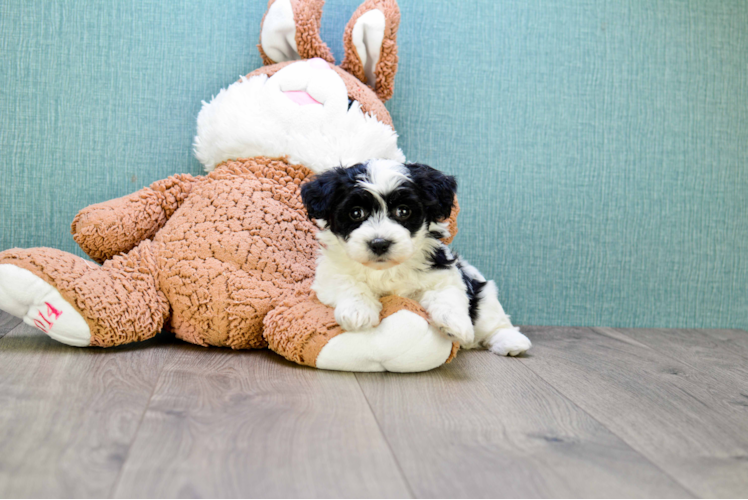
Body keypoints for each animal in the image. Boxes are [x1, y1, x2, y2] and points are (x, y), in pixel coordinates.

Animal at [300, 160, 532, 356]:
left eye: (403, 211)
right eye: (356, 213)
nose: (379, 243)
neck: (386, 269)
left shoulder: (443, 273)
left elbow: (445, 294)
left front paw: (454, 323)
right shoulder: (330, 273)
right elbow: (348, 283)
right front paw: (358, 311)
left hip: (483, 292)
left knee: (494, 320)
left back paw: (511, 341)